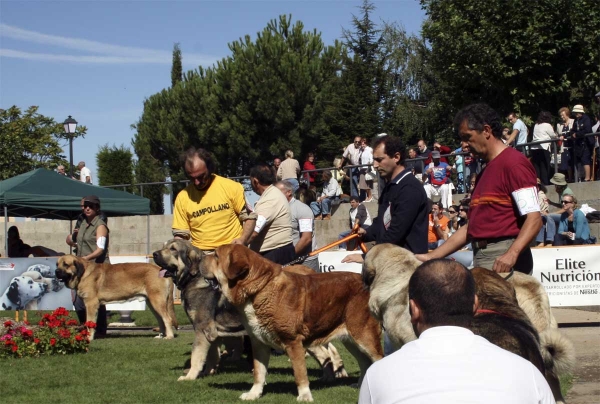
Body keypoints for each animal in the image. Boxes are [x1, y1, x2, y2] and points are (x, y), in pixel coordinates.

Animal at [199, 243, 382, 400]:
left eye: (216, 255)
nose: (200, 258)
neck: (258, 289)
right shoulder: (259, 343)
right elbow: (259, 372)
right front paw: (253, 394)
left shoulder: (293, 342)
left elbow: (300, 373)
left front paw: (305, 396)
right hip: (351, 340)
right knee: (365, 363)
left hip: (365, 337)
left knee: (377, 359)